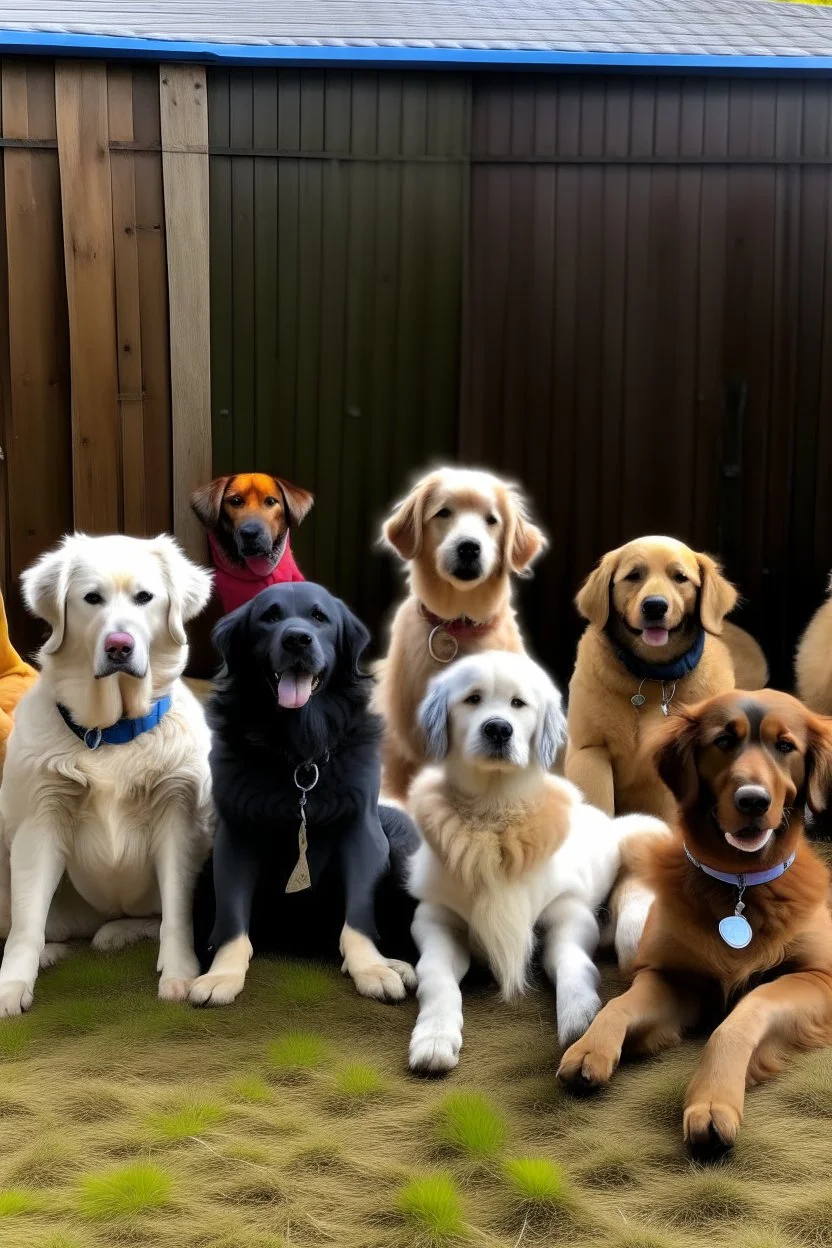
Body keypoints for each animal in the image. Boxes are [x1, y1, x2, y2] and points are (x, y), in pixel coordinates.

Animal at [0, 534, 217, 1013]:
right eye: (92, 599)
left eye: (145, 598)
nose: (119, 645)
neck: (111, 733)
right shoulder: (40, 821)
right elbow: (26, 926)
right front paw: (11, 985)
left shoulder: (178, 817)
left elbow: (177, 914)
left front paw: (178, 974)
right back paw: (56, 951)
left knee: (150, 918)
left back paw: (116, 935)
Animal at [192, 581, 419, 1003]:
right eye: (269, 617)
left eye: (319, 617)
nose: (297, 639)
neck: (299, 749)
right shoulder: (235, 835)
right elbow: (231, 915)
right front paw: (223, 973)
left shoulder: (362, 830)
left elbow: (359, 913)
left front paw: (371, 966)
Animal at [406, 643, 668, 1073]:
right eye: (472, 699)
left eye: (518, 703)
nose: (498, 729)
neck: (495, 811)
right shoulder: (435, 917)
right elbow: (435, 975)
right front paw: (433, 1038)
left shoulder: (567, 911)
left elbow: (572, 961)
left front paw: (582, 1017)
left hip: (636, 841)